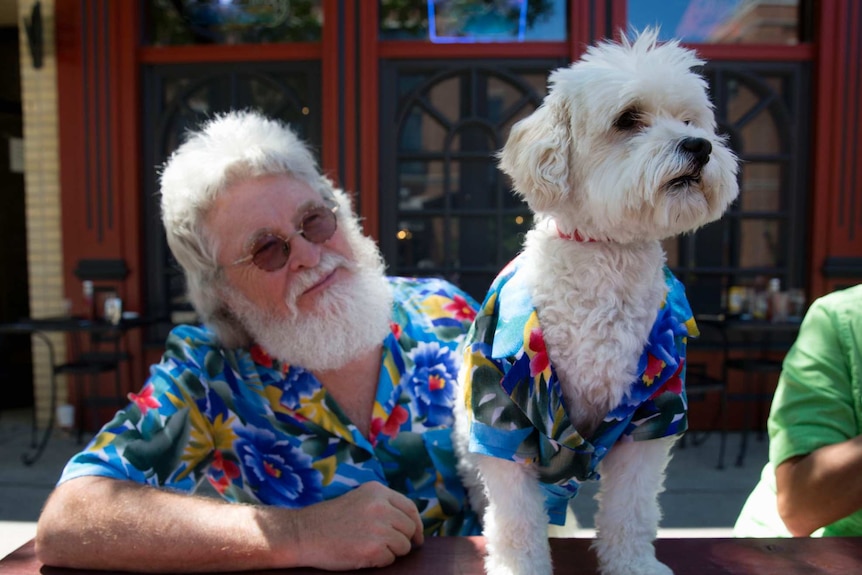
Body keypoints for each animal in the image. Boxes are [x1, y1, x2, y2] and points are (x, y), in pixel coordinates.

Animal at [452, 30, 744, 575]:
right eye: (628, 119)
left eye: (690, 121)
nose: (699, 146)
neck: (607, 254)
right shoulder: (502, 418)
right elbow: (516, 520)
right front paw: (521, 566)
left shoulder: (652, 416)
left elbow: (632, 508)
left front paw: (633, 563)